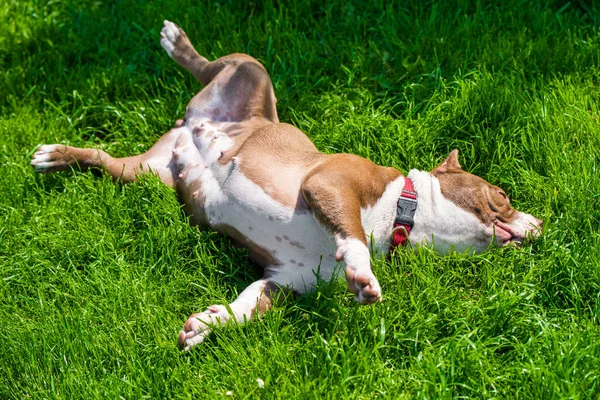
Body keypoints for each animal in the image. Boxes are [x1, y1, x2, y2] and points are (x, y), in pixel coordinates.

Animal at [29, 21, 544, 350]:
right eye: (502, 197)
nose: (540, 222)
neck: (404, 213)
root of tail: (190, 125)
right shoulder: (331, 183)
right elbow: (353, 236)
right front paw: (363, 275)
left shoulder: (284, 279)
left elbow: (245, 305)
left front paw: (208, 324)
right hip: (252, 69)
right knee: (209, 63)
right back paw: (176, 43)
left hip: (144, 173)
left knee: (101, 159)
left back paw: (57, 157)